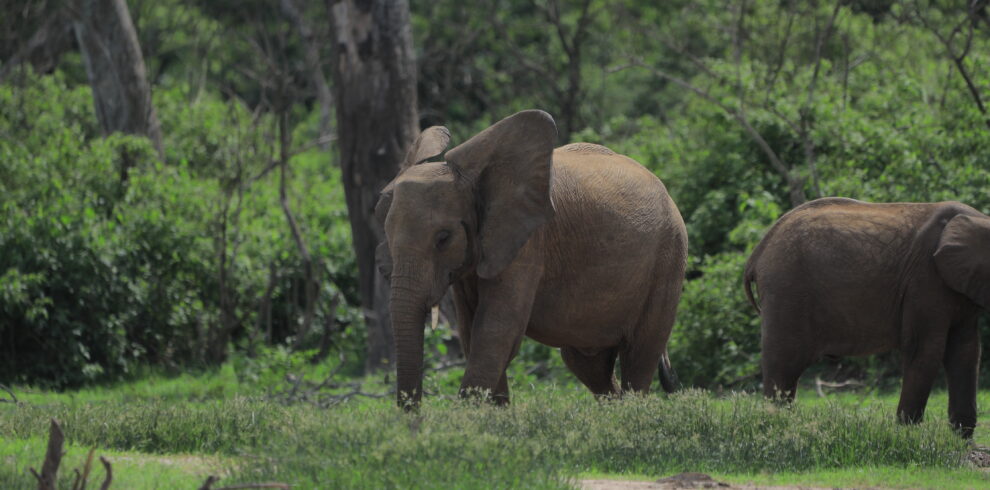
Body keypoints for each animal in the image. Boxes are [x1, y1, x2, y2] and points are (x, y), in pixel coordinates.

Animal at [376, 110, 684, 406]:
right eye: (386, 233)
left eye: (443, 238)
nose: (412, 415)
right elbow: (471, 331)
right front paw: (492, 416)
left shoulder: (529, 241)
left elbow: (495, 330)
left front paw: (467, 419)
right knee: (588, 365)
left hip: (669, 258)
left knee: (639, 357)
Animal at [744, 198, 990, 436]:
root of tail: (758, 251)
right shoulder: (925, 280)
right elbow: (925, 351)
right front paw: (907, 437)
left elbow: (966, 351)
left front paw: (960, 441)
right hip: (785, 288)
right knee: (784, 365)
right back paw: (777, 427)